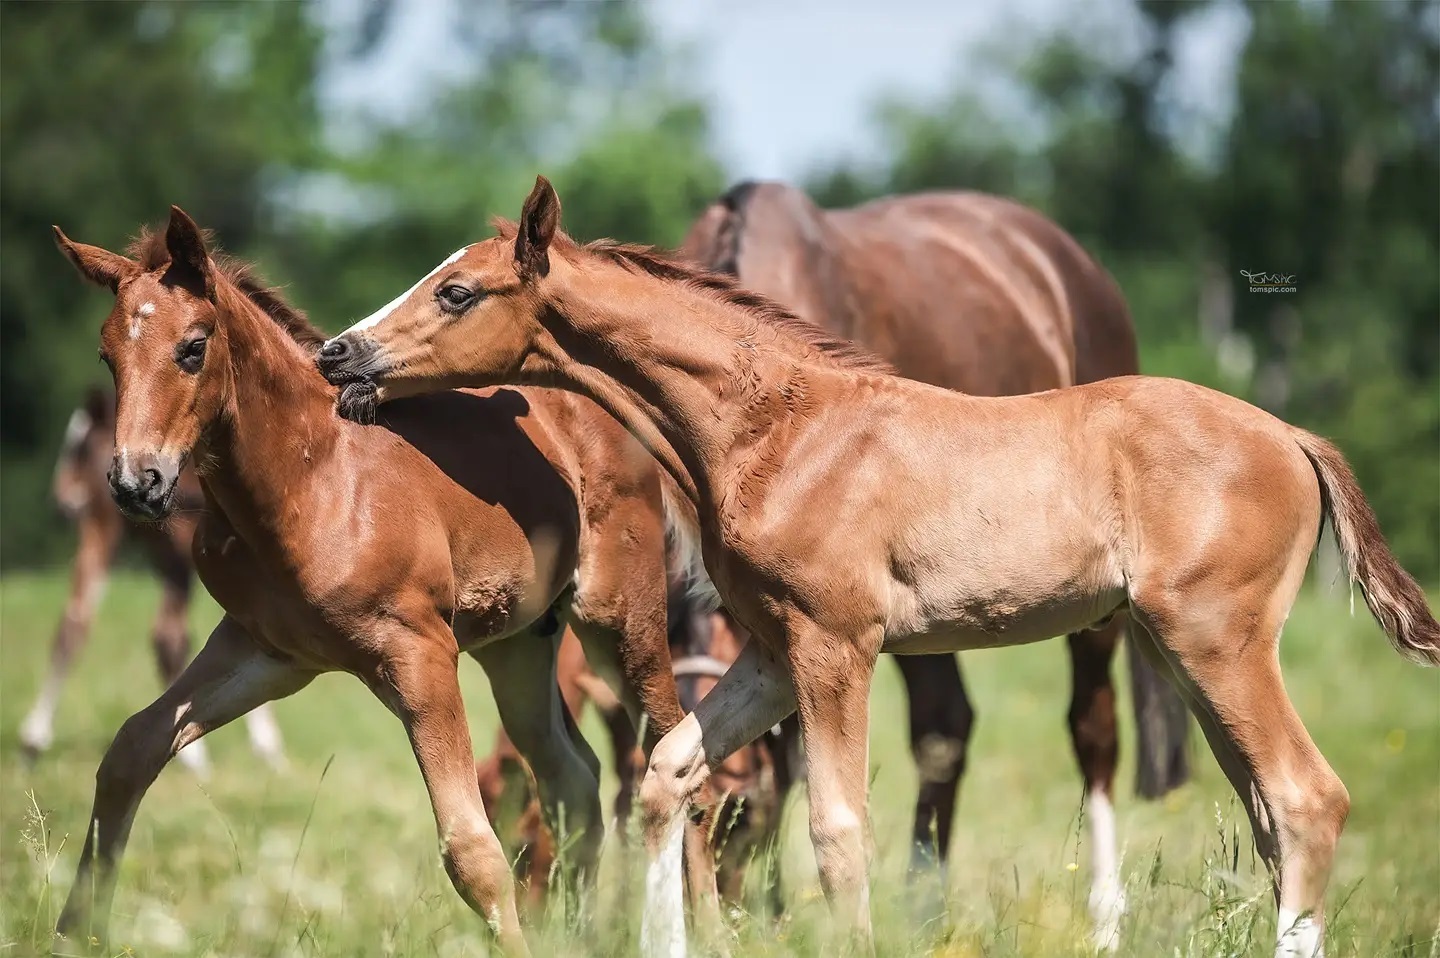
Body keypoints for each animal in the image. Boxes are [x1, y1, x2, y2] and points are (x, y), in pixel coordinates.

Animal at [49, 211, 708, 956]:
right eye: (108, 357)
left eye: (193, 348)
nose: (137, 483)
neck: (312, 480)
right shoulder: (266, 651)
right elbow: (130, 751)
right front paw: (75, 931)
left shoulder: (420, 655)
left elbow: (472, 848)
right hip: (517, 646)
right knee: (572, 777)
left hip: (618, 622)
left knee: (673, 755)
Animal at [318, 173, 1440, 956]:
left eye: (457, 290)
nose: (338, 354)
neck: (780, 429)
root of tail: (1293, 435)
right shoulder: (774, 651)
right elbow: (670, 772)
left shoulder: (838, 647)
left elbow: (838, 829)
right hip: (1191, 653)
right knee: (1270, 813)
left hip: (1213, 642)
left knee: (1304, 797)